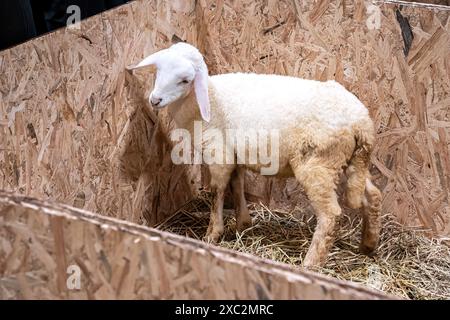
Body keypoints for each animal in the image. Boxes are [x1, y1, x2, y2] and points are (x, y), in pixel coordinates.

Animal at [125, 42, 380, 268]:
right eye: (158, 71)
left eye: (185, 80)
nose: (154, 100)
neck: (205, 100)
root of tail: (362, 122)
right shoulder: (236, 155)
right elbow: (237, 184)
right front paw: (243, 223)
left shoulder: (219, 153)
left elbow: (217, 191)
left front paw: (212, 233)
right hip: (348, 162)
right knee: (372, 195)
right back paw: (367, 245)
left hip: (318, 164)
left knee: (330, 215)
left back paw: (310, 263)